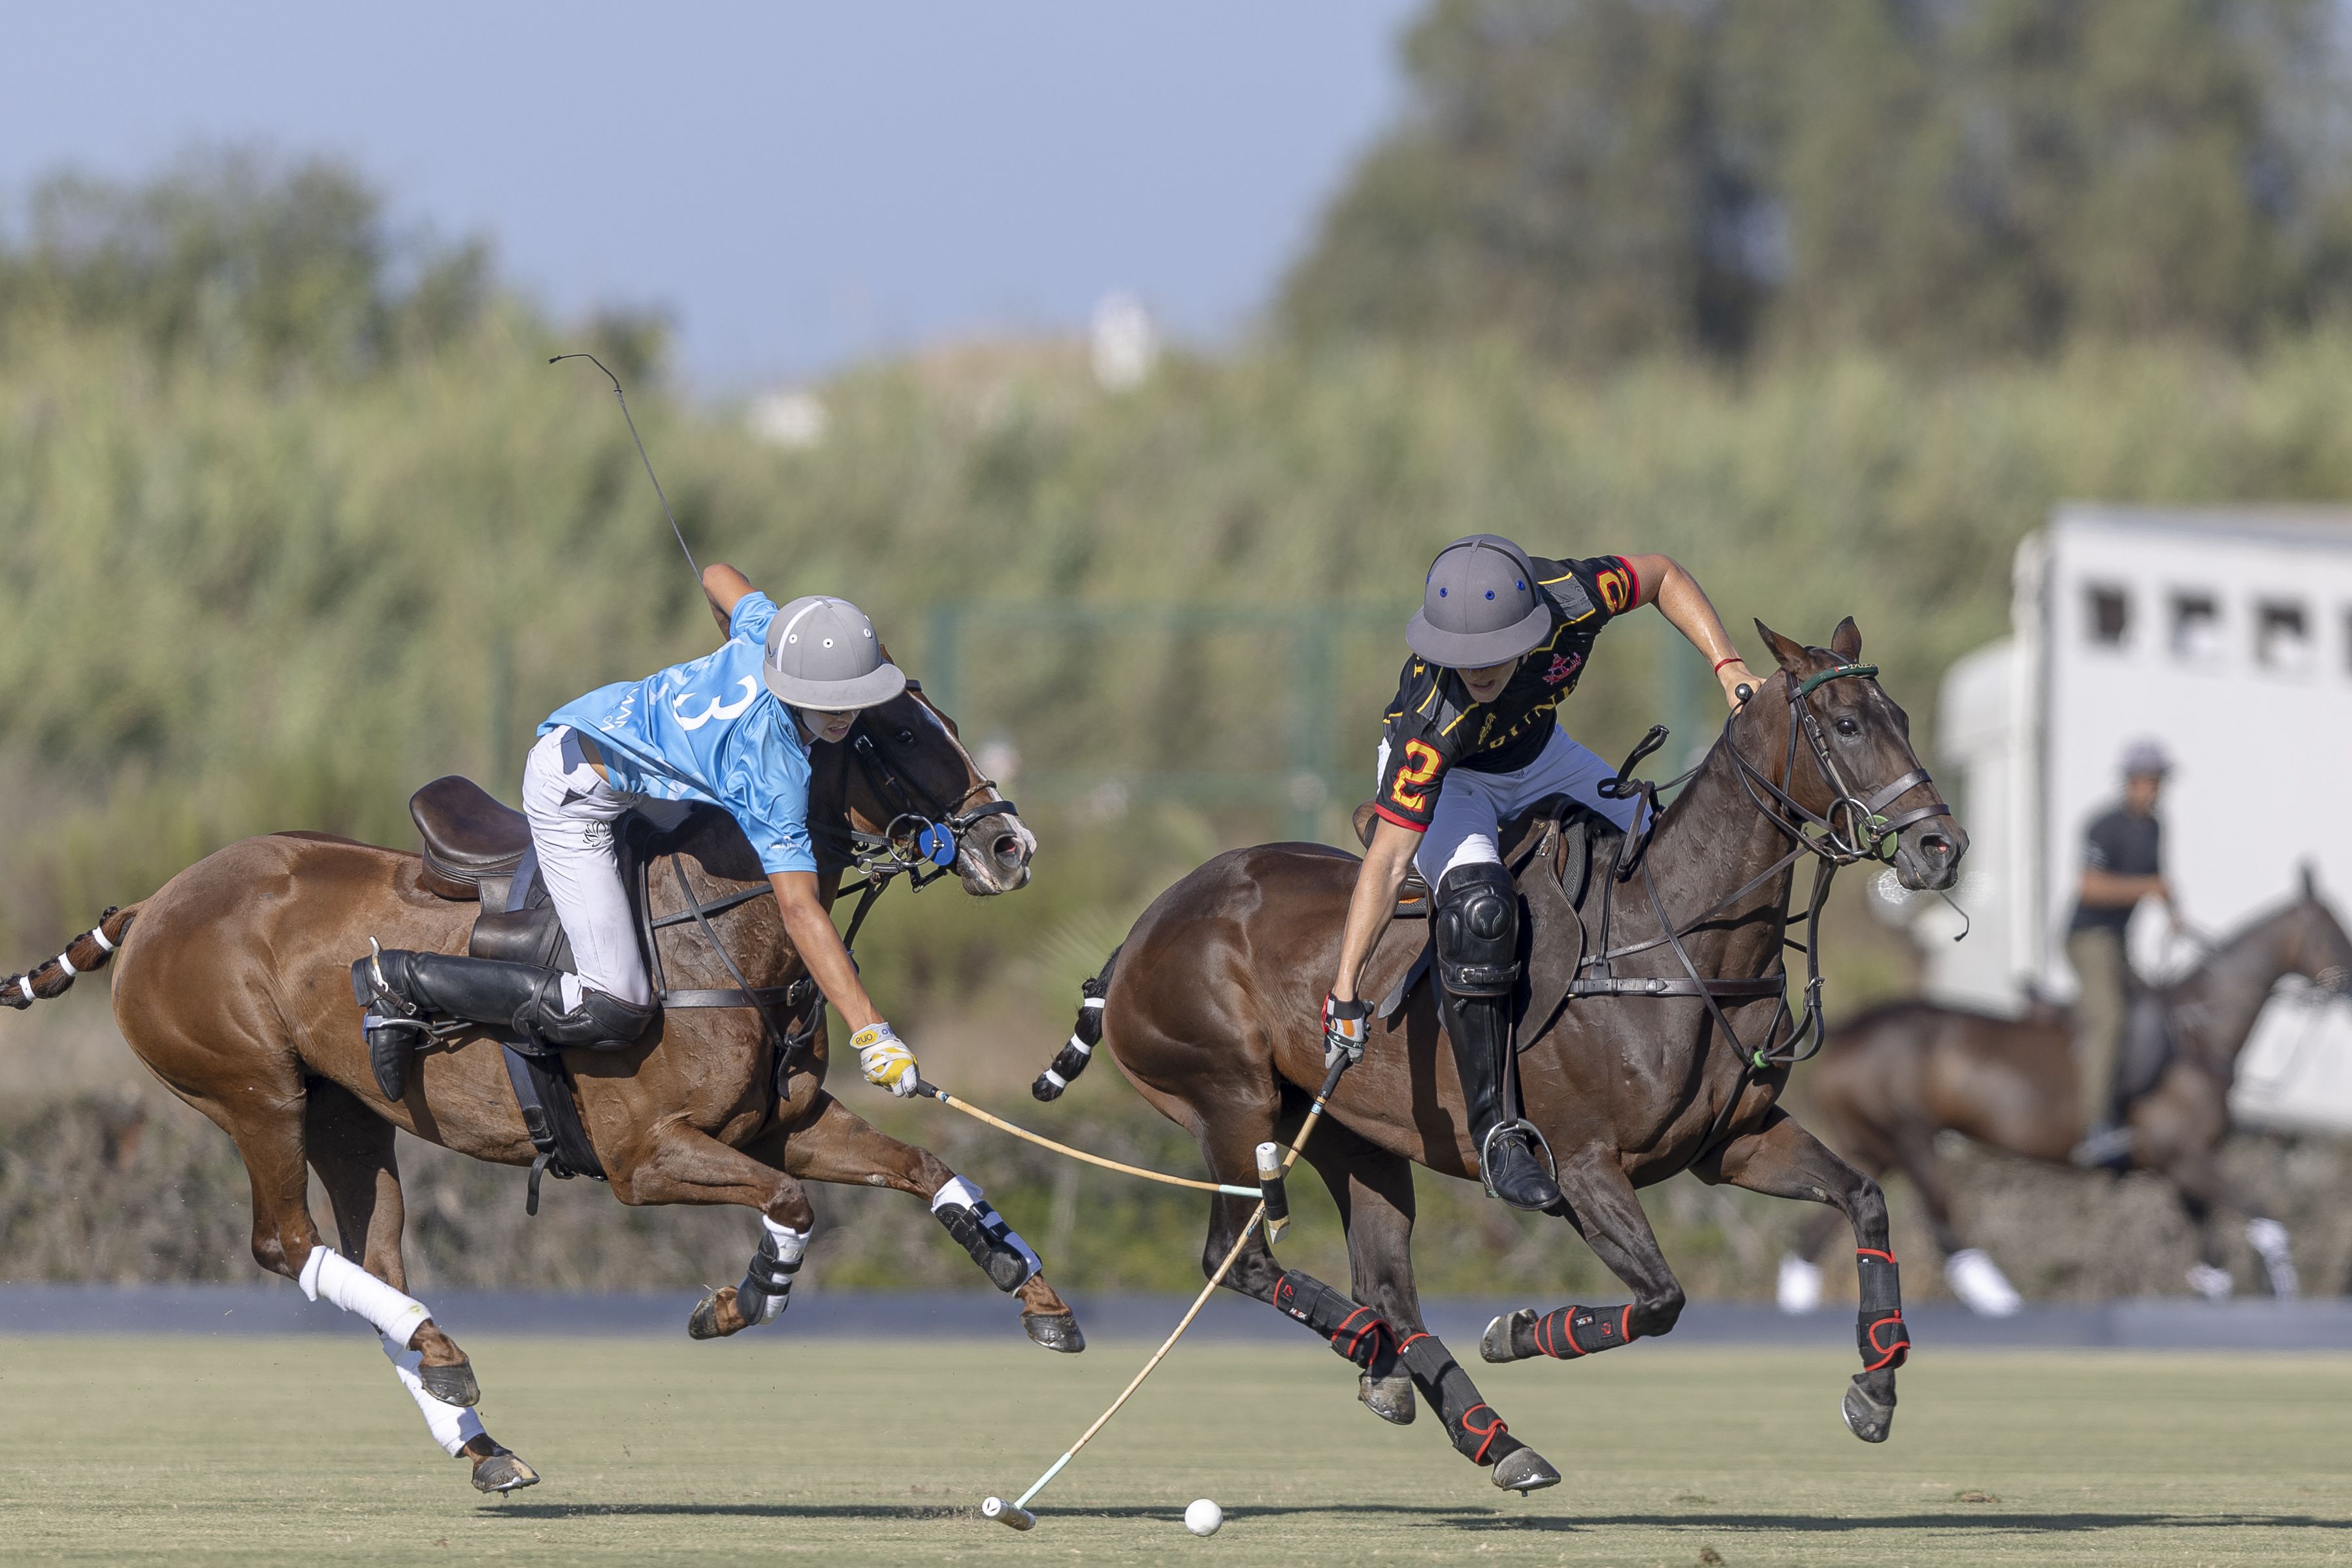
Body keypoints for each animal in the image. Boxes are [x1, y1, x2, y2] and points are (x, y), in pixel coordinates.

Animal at [2, 686, 1077, 1495]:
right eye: (900, 736)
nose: (1010, 848)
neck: (719, 921)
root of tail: (157, 900)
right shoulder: (645, 1160)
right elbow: (792, 1205)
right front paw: (739, 1301)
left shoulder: (786, 1122)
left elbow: (922, 1164)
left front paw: (1030, 1288)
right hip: (254, 1092)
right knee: (286, 1244)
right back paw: (447, 1357)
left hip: (348, 1113)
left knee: (374, 1254)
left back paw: (475, 1432)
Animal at [1039, 620, 1957, 1495]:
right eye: (1846, 724)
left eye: (1904, 718)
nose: (1942, 848)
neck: (1672, 939)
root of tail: (1143, 927)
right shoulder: (1581, 1167)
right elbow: (1662, 1298)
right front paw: (1517, 1331)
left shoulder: (1732, 1143)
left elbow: (1865, 1200)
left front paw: (1875, 1391)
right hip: (1230, 1101)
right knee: (1242, 1259)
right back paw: (1383, 1359)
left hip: (1353, 1134)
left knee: (1386, 1279)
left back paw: (1476, 1427)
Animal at [1778, 879, 2352, 1316]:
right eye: (2333, 930)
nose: (2347, 986)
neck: (2199, 1036)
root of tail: (1843, 1034)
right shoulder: (2186, 1159)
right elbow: (2266, 1220)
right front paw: (2282, 1290)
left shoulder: (2183, 1173)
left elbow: (2214, 1264)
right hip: (1911, 1138)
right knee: (1947, 1234)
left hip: (1875, 1147)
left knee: (1816, 1237)